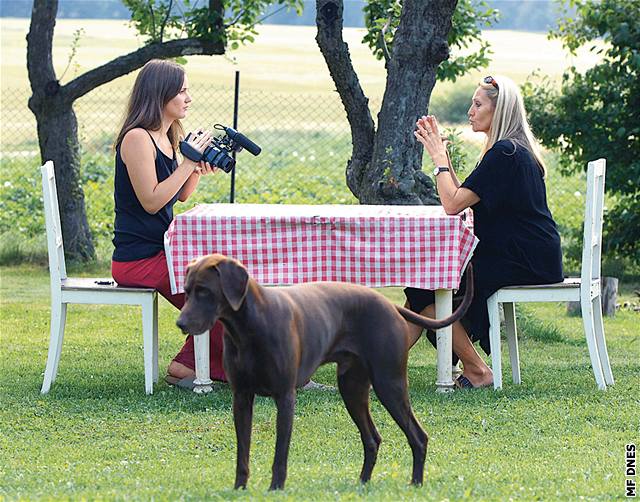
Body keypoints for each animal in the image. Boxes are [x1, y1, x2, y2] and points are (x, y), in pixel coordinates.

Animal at [175, 253, 470, 488]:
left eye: (205, 291)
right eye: (187, 291)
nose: (181, 323)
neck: (248, 328)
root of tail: (390, 305)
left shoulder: (285, 397)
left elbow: (280, 454)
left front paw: (275, 489)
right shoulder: (242, 398)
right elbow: (242, 453)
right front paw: (240, 489)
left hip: (389, 385)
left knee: (418, 437)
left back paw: (415, 483)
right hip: (352, 389)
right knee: (372, 439)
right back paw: (363, 484)